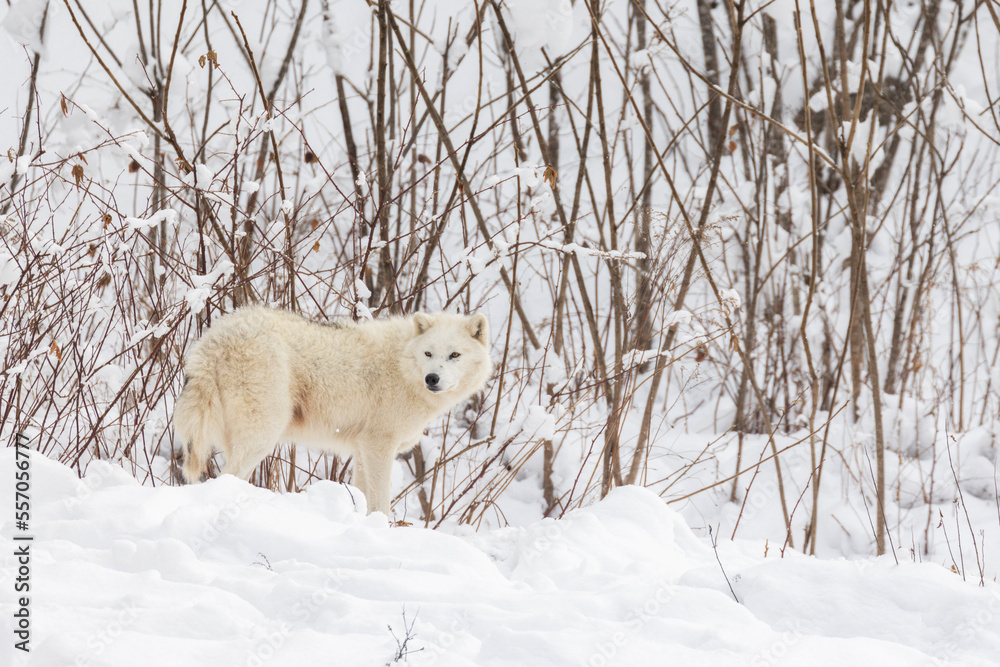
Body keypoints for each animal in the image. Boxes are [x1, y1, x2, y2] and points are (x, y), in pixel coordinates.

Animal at [173, 308, 492, 516]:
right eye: (428, 354)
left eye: (454, 355)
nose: (432, 379)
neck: (402, 366)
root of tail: (218, 334)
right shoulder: (380, 446)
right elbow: (380, 501)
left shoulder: (363, 449)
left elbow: (362, 495)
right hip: (262, 436)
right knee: (229, 477)